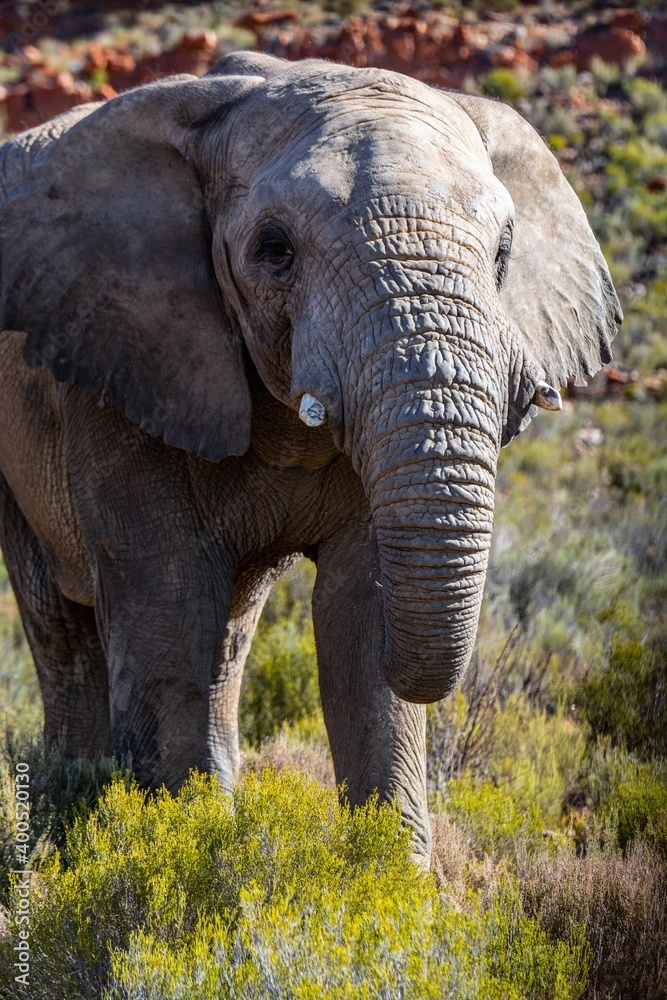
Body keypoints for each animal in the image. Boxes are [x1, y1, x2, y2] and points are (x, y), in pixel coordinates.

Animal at [0, 52, 620, 861]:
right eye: (274, 249)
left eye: (504, 254)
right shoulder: (119, 354)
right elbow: (168, 600)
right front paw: (181, 849)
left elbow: (356, 611)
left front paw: (391, 882)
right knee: (63, 622)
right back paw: (68, 808)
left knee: (229, 632)